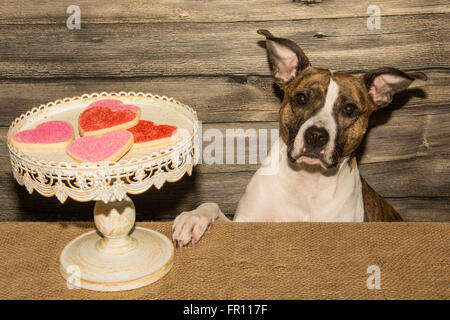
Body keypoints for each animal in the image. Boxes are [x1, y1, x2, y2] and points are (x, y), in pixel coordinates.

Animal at [171, 28, 428, 246]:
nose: (316, 136)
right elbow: (211, 205)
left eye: (349, 109)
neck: (307, 181)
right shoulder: (245, 222)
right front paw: (194, 218)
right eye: (301, 98)